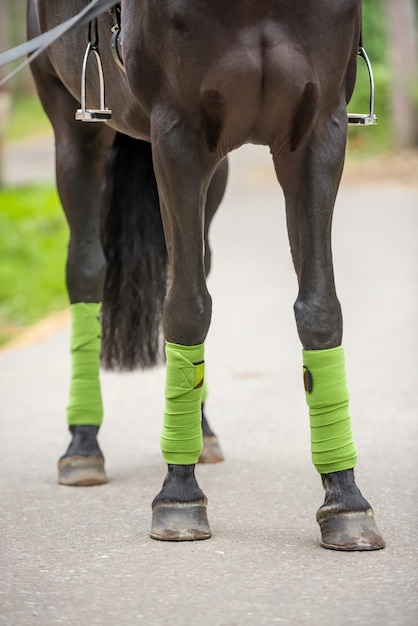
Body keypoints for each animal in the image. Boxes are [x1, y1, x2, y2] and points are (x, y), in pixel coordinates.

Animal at [26, 0, 386, 544]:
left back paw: (202, 430)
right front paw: (179, 494)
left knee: (199, 261)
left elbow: (320, 309)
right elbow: (186, 308)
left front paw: (345, 499)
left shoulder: (317, 135)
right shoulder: (178, 137)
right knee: (87, 270)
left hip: (217, 171)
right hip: (76, 129)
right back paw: (84, 446)